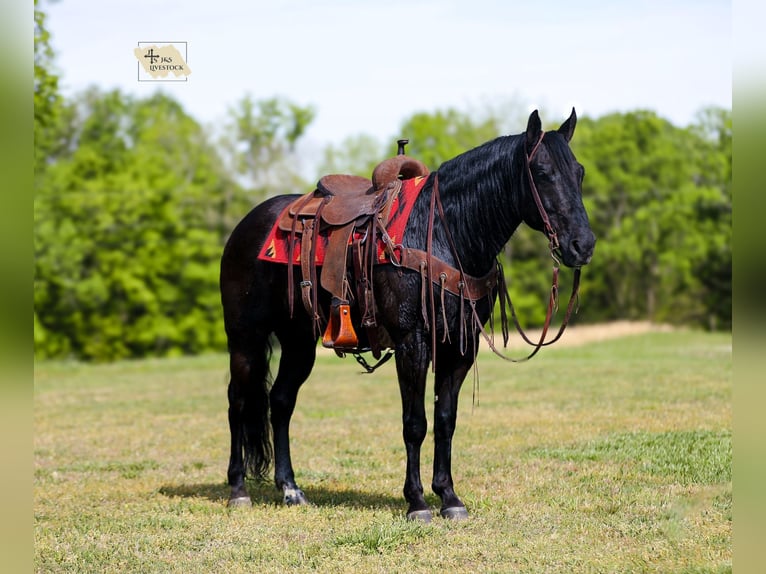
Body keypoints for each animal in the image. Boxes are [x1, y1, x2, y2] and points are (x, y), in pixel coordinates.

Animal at [219, 109, 596, 521]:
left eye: (578, 172)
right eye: (542, 172)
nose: (583, 245)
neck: (447, 235)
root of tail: (246, 225)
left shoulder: (460, 347)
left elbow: (446, 420)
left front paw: (449, 497)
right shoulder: (411, 342)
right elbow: (415, 423)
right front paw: (417, 501)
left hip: (299, 342)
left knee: (281, 401)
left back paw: (290, 488)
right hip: (245, 338)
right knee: (239, 401)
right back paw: (238, 489)